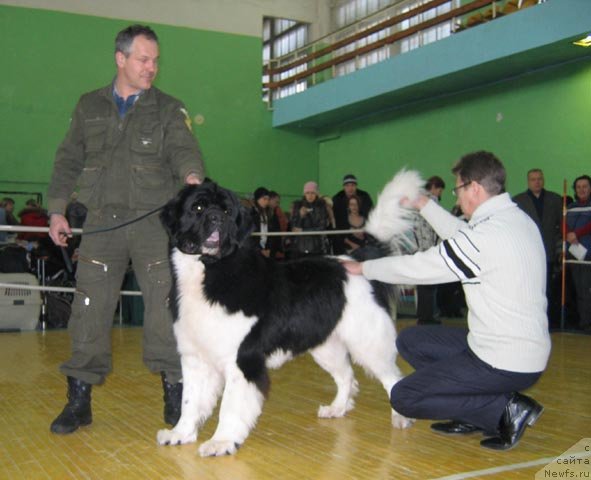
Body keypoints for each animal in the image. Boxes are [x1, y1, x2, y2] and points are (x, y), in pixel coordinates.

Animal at [157, 171, 424, 456]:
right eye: (197, 207)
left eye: (228, 210)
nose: (217, 217)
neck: (210, 271)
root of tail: (357, 262)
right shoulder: (194, 357)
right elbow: (190, 401)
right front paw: (180, 434)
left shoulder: (241, 359)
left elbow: (230, 405)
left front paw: (222, 442)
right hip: (326, 344)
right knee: (347, 377)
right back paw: (337, 408)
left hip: (368, 341)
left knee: (392, 377)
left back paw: (401, 417)